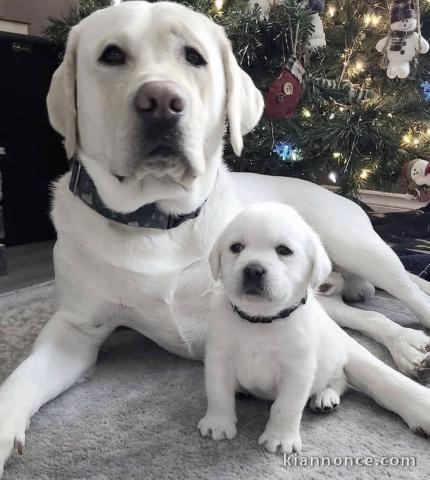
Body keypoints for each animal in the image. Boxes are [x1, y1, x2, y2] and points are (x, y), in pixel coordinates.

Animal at [200, 202, 430, 454]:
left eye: (284, 250)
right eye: (236, 247)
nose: (253, 270)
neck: (260, 321)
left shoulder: (298, 370)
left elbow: (286, 406)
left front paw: (280, 438)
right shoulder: (219, 358)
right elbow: (218, 393)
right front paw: (218, 424)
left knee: (341, 376)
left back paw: (326, 395)